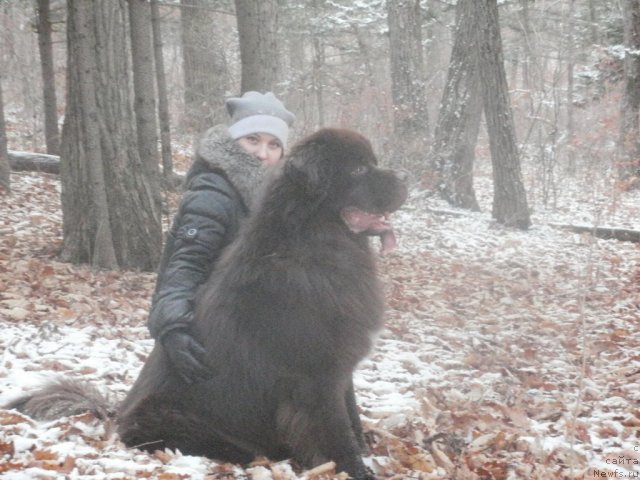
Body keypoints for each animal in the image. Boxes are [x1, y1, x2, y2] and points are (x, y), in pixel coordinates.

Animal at [10, 128, 408, 480]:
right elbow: (336, 432)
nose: (405, 180)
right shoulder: (315, 377)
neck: (314, 246)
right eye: (358, 171)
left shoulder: (342, 368)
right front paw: (357, 470)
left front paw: (366, 448)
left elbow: (351, 415)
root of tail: (114, 415)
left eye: (372, 163)